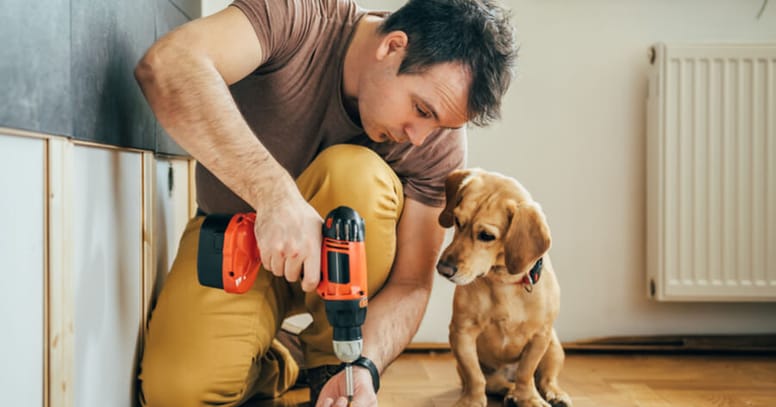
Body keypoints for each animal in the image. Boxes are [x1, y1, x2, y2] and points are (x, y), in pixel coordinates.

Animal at [436, 169, 568, 407]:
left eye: (486, 236)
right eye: (457, 221)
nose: (443, 268)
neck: (504, 282)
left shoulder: (540, 336)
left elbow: (526, 372)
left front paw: (529, 399)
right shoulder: (461, 332)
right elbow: (475, 376)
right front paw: (471, 400)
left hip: (553, 346)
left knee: (546, 378)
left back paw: (553, 394)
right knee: (496, 383)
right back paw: (509, 392)